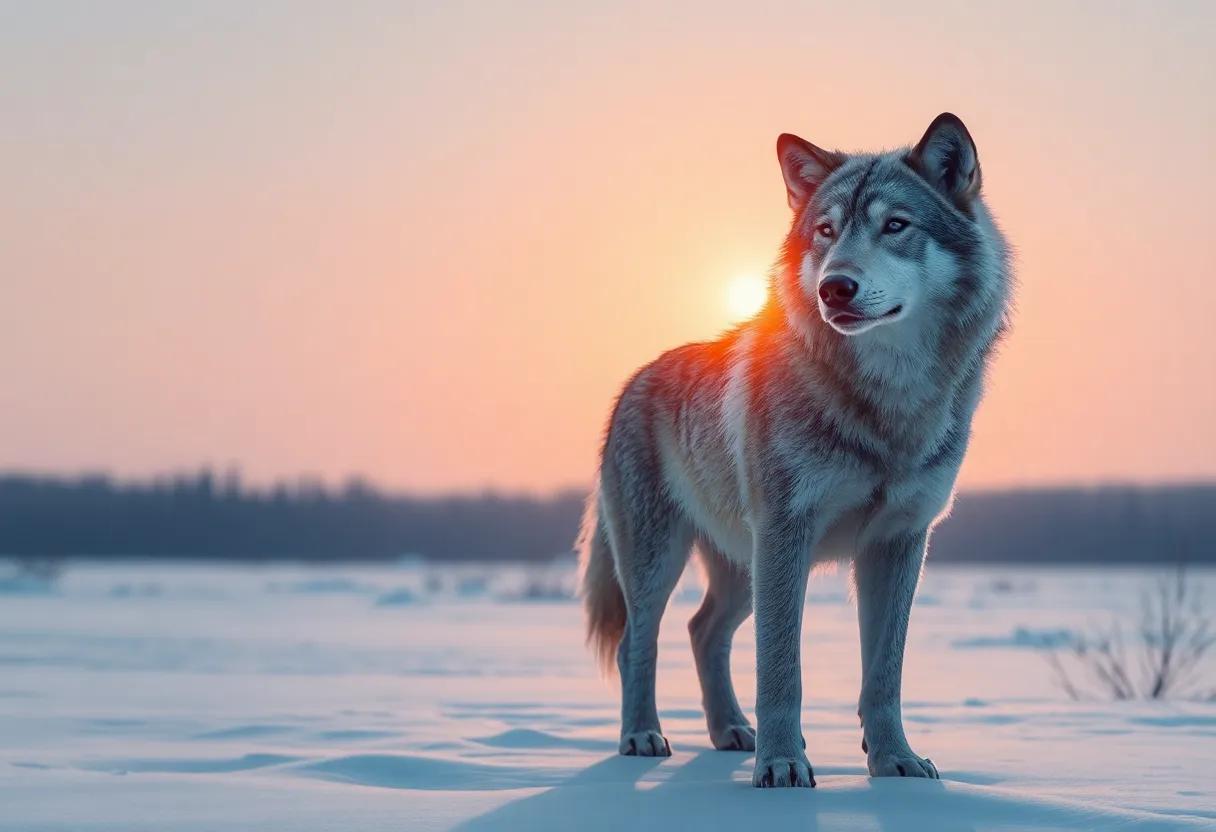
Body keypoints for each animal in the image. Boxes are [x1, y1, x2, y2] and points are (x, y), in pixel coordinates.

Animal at [577, 113, 1011, 787]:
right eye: (826, 231)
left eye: (895, 225)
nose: (836, 287)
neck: (887, 405)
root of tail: (633, 382)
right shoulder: (786, 531)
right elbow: (781, 670)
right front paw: (782, 766)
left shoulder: (899, 542)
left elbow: (884, 677)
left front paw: (896, 763)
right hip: (665, 562)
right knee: (637, 643)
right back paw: (642, 736)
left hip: (741, 568)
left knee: (702, 631)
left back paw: (730, 732)